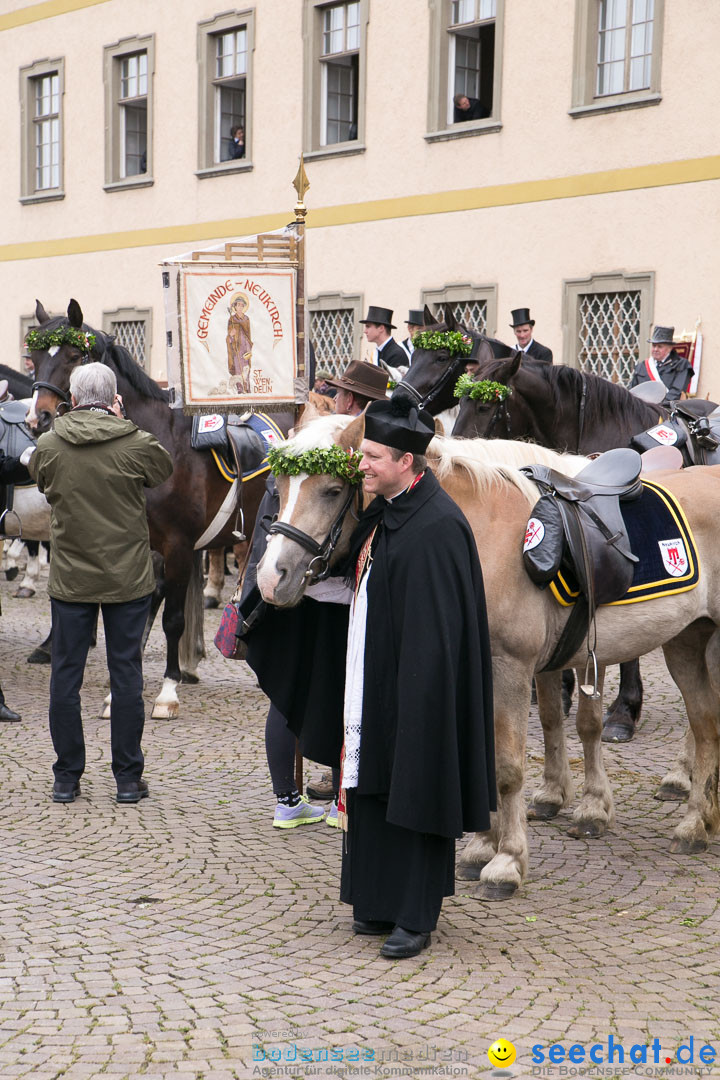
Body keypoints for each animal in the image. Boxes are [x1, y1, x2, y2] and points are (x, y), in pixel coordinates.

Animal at [24, 300, 280, 717]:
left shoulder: (178, 547)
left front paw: (167, 691)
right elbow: (138, 613)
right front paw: (118, 693)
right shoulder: (142, 545)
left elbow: (173, 620)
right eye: (34, 359)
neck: (162, 444)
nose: (38, 418)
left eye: (75, 356)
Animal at [255, 408, 720, 898]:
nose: (270, 577)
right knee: (706, 725)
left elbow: (510, 767)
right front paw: (481, 847)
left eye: (332, 489)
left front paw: (507, 861)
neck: (481, 534)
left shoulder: (510, 669)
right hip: (686, 641)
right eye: (279, 487)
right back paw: (699, 822)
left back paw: (693, 817)